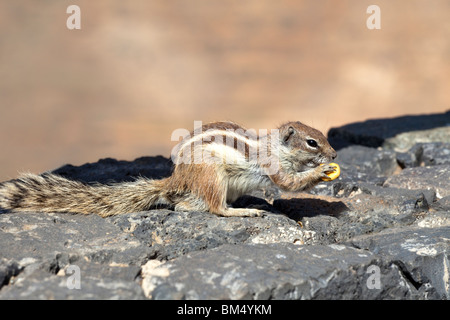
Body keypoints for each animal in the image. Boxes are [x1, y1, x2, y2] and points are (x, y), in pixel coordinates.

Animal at [0, 120, 336, 218]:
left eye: (322, 135)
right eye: (311, 143)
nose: (333, 153)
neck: (275, 146)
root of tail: (176, 181)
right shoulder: (273, 165)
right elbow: (288, 183)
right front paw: (320, 172)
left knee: (187, 206)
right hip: (212, 176)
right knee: (215, 208)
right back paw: (243, 211)